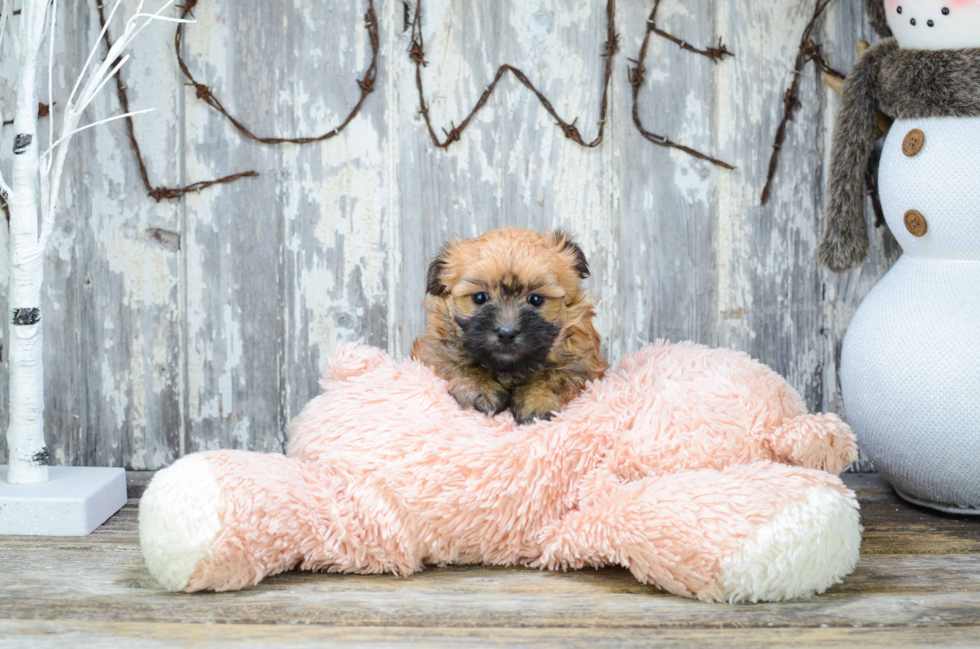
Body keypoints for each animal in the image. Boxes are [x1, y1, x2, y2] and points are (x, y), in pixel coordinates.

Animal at [412, 228, 604, 426]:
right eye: (480, 297)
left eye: (535, 299)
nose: (506, 333)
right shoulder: (435, 350)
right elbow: (464, 365)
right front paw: (481, 391)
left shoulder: (581, 361)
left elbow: (551, 376)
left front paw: (536, 401)